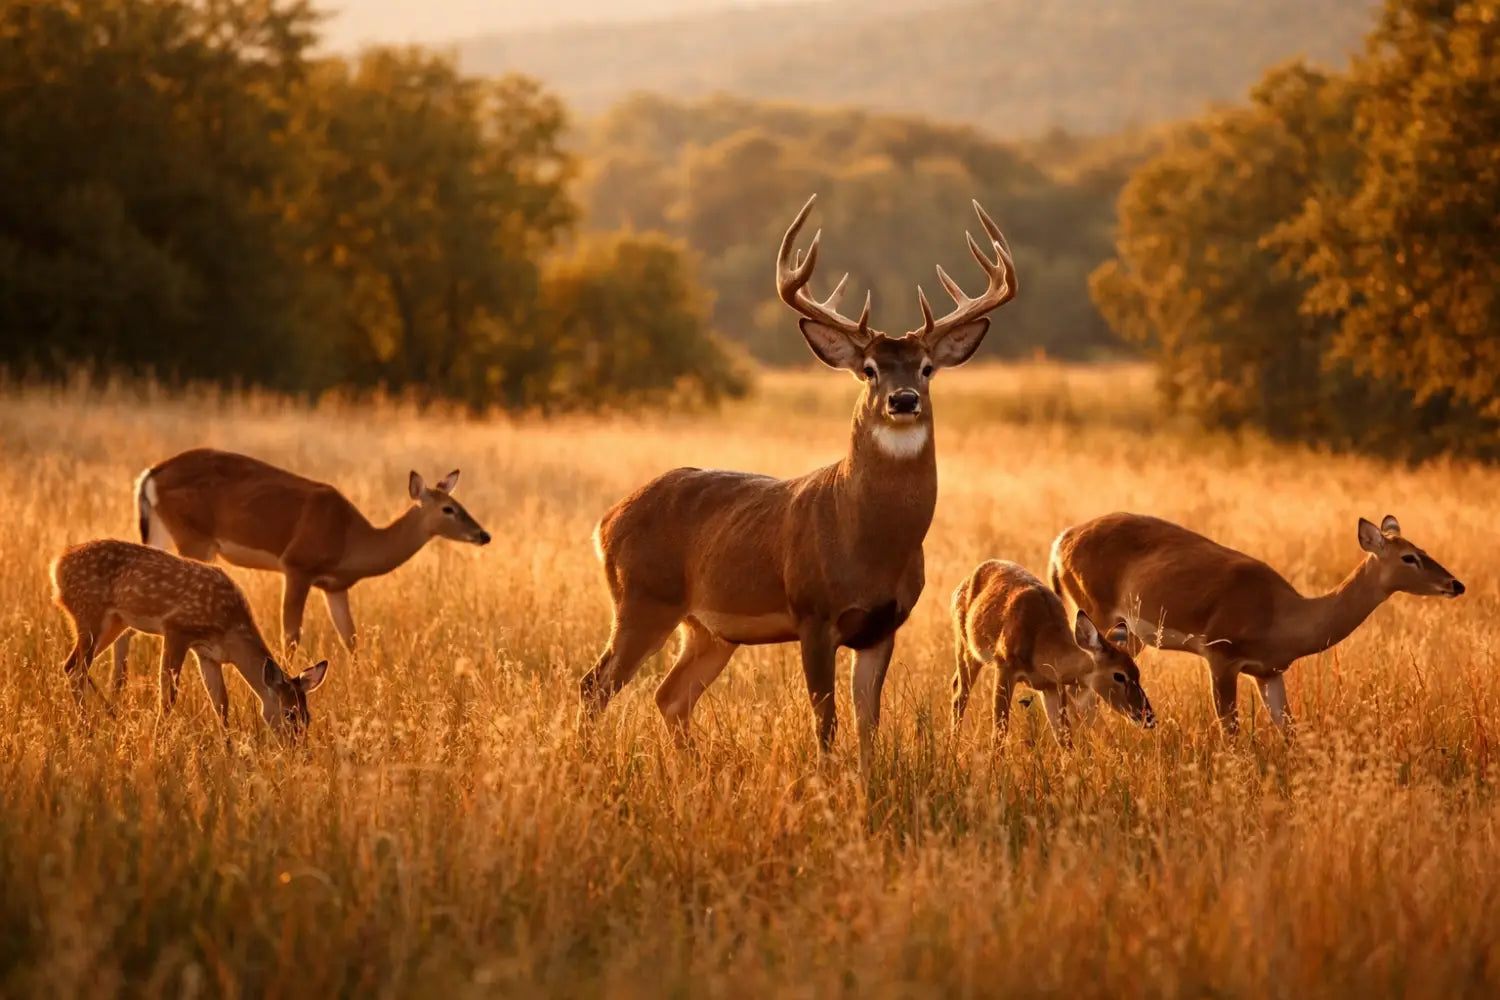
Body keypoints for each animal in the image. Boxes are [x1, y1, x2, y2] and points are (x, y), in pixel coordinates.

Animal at [51, 539, 329, 737]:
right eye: (289, 714)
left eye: (308, 717)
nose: (299, 751)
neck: (230, 627)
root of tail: (56, 566)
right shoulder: (177, 629)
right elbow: (168, 696)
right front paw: (159, 744)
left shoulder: (208, 654)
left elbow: (221, 704)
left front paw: (229, 753)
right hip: (89, 612)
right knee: (76, 668)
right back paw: (88, 728)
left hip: (115, 621)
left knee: (70, 665)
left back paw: (106, 718)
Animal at [111, 448, 490, 690]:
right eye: (448, 509)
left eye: (459, 503)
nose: (483, 535)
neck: (352, 540)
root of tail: (149, 475)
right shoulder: (297, 566)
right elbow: (291, 634)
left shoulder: (335, 587)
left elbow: (350, 637)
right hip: (194, 540)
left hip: (161, 534)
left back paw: (116, 691)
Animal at [578, 193, 1018, 770]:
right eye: (870, 369)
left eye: (926, 368)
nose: (903, 400)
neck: (868, 541)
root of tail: (606, 522)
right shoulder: (814, 614)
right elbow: (825, 723)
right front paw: (826, 779)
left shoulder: (883, 626)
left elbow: (868, 724)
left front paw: (867, 779)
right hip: (642, 600)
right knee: (595, 685)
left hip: (708, 628)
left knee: (670, 694)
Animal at [951, 560, 1154, 746]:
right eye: (1119, 675)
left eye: (1137, 672)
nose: (1148, 717)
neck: (1040, 637)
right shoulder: (1005, 670)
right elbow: (999, 733)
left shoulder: (1051, 687)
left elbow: (1064, 738)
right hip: (966, 651)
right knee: (959, 694)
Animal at [1047, 512, 1465, 734]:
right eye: (1409, 557)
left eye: (1423, 549)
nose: (1455, 584)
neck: (1284, 617)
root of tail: (1060, 542)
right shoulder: (1220, 656)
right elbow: (1229, 730)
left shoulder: (1269, 672)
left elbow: (1289, 729)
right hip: (1100, 616)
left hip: (1127, 634)